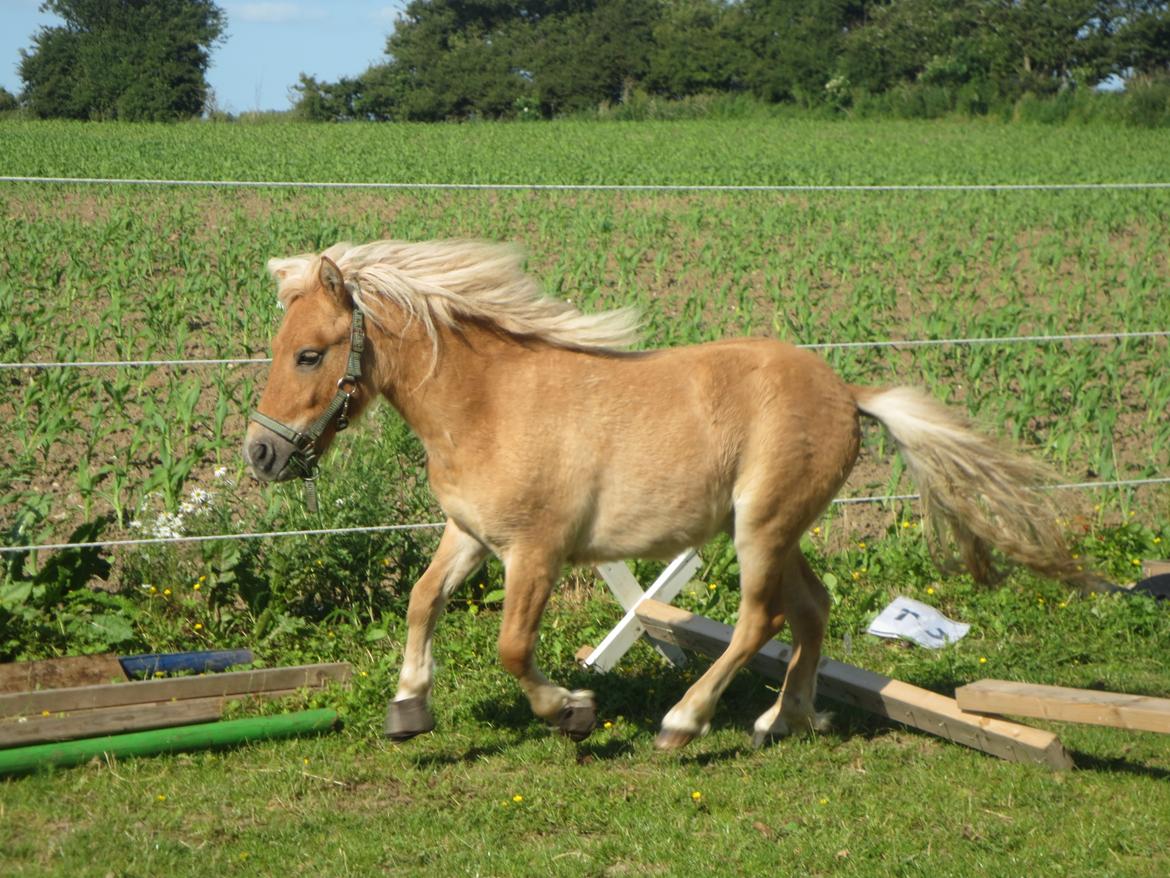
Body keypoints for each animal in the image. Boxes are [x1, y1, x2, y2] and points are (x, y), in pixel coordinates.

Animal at [244, 241, 1095, 749]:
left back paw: (683, 723)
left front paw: (574, 711)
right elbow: (423, 601)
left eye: (311, 353)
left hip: (761, 529)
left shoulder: (536, 553)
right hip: (780, 531)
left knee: (761, 620)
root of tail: (846, 393)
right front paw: (408, 707)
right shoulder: (473, 536)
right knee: (812, 611)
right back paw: (781, 719)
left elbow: (513, 647)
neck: (488, 406)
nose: (260, 453)